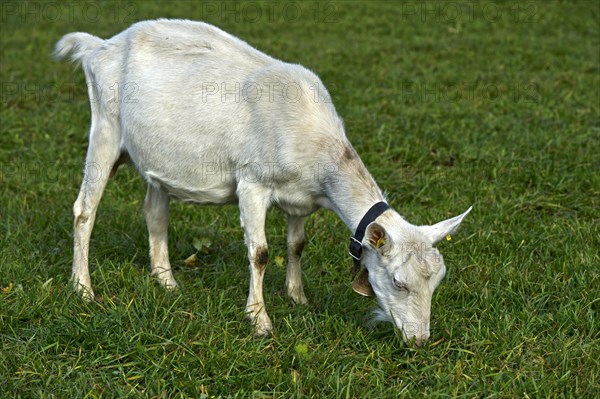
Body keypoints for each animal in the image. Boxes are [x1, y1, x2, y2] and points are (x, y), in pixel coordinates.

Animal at [54, 18, 472, 346]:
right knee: (83, 210)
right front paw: (260, 322)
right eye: (399, 283)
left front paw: (299, 298)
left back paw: (167, 283)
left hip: (156, 157)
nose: (419, 340)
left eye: (437, 282)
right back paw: (83, 289)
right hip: (105, 129)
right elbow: (260, 253)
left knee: (155, 213)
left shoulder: (301, 200)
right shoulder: (252, 182)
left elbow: (297, 245)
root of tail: (99, 46)